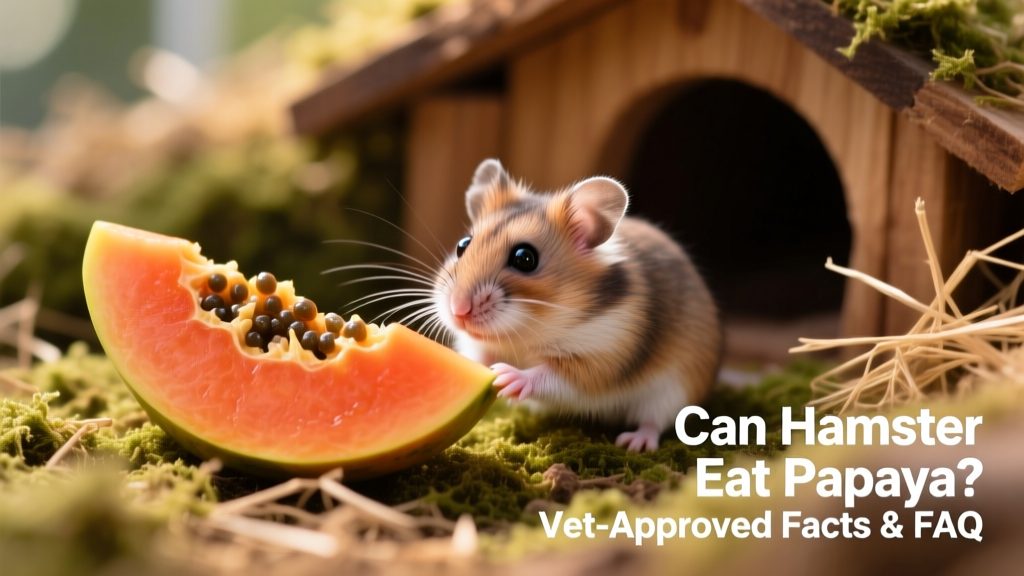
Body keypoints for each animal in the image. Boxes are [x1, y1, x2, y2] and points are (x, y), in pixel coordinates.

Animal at [433, 159, 721, 451]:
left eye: (525, 258)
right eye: (462, 245)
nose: (458, 310)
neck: (529, 331)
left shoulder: (600, 358)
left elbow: (552, 376)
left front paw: (507, 377)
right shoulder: (481, 344)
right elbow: (479, 355)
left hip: (673, 391)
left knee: (654, 422)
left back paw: (633, 443)